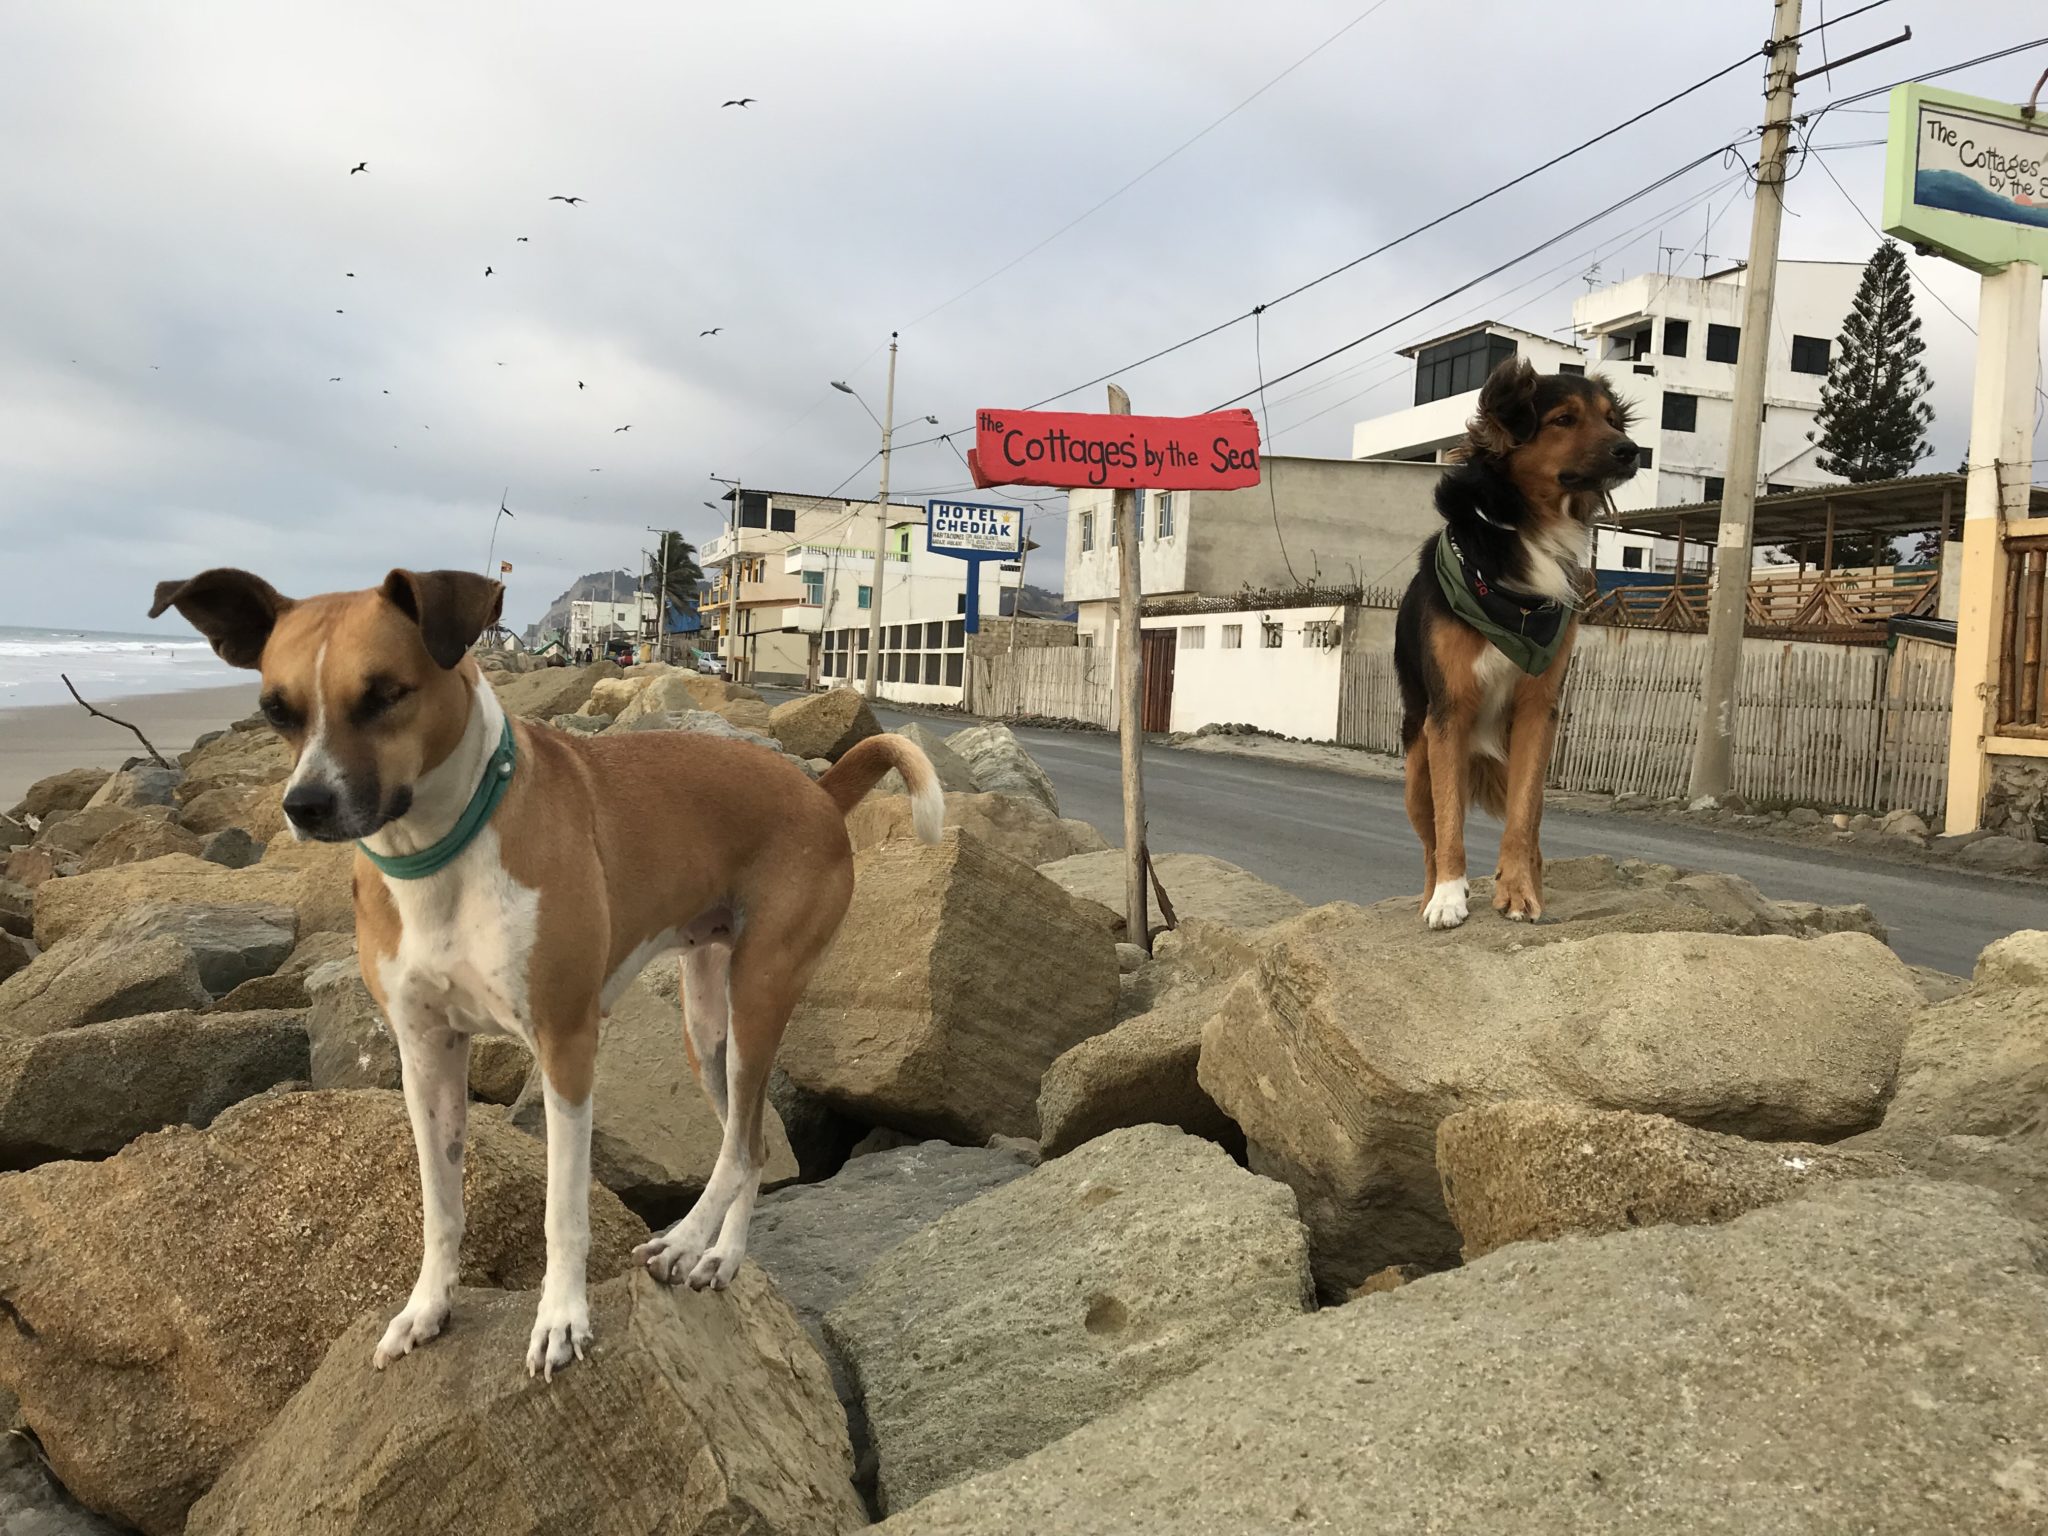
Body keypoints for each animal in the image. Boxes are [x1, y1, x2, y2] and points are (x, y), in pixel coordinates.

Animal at [151, 569, 942, 1384]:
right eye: (275, 710)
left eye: (386, 693)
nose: (305, 805)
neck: (442, 852)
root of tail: (820, 790)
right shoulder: (425, 1055)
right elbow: (441, 1204)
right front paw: (428, 1306)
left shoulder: (566, 1046)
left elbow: (563, 1210)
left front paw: (561, 1318)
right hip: (706, 1025)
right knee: (748, 1143)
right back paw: (721, 1255)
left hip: (758, 996)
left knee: (739, 1146)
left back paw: (688, 1239)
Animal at [1392, 362, 1630, 933]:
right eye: (1564, 419)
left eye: (1611, 419)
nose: (1632, 450)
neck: (1528, 527)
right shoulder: (1449, 712)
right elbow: (1450, 821)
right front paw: (1449, 898)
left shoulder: (1537, 709)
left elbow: (1522, 818)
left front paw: (1519, 891)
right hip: (1416, 765)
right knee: (1430, 839)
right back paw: (1433, 892)